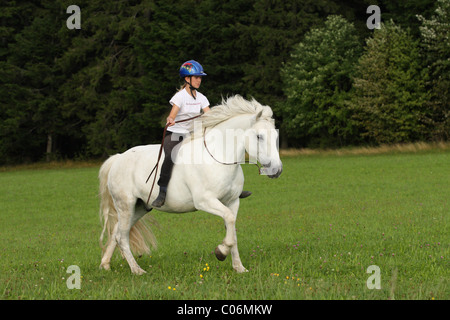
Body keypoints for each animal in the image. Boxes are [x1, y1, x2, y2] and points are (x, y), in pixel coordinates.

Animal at [98, 95, 282, 276]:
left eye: (275, 136)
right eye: (259, 136)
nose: (277, 170)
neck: (218, 157)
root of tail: (118, 158)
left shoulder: (232, 202)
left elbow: (232, 229)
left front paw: (239, 267)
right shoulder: (205, 201)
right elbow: (229, 219)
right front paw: (221, 251)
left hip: (139, 207)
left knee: (116, 233)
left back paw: (105, 265)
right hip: (126, 205)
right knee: (122, 236)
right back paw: (137, 270)